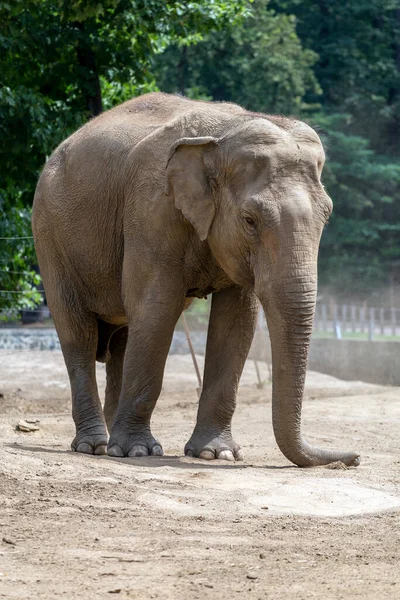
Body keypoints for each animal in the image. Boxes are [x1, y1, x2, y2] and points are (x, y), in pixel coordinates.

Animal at [32, 91, 360, 466]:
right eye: (249, 220)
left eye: (327, 215)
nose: (353, 458)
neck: (223, 136)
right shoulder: (152, 209)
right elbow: (157, 308)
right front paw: (139, 451)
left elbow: (236, 322)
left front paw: (216, 454)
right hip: (49, 235)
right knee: (79, 334)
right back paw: (96, 446)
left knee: (123, 338)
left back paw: (111, 443)